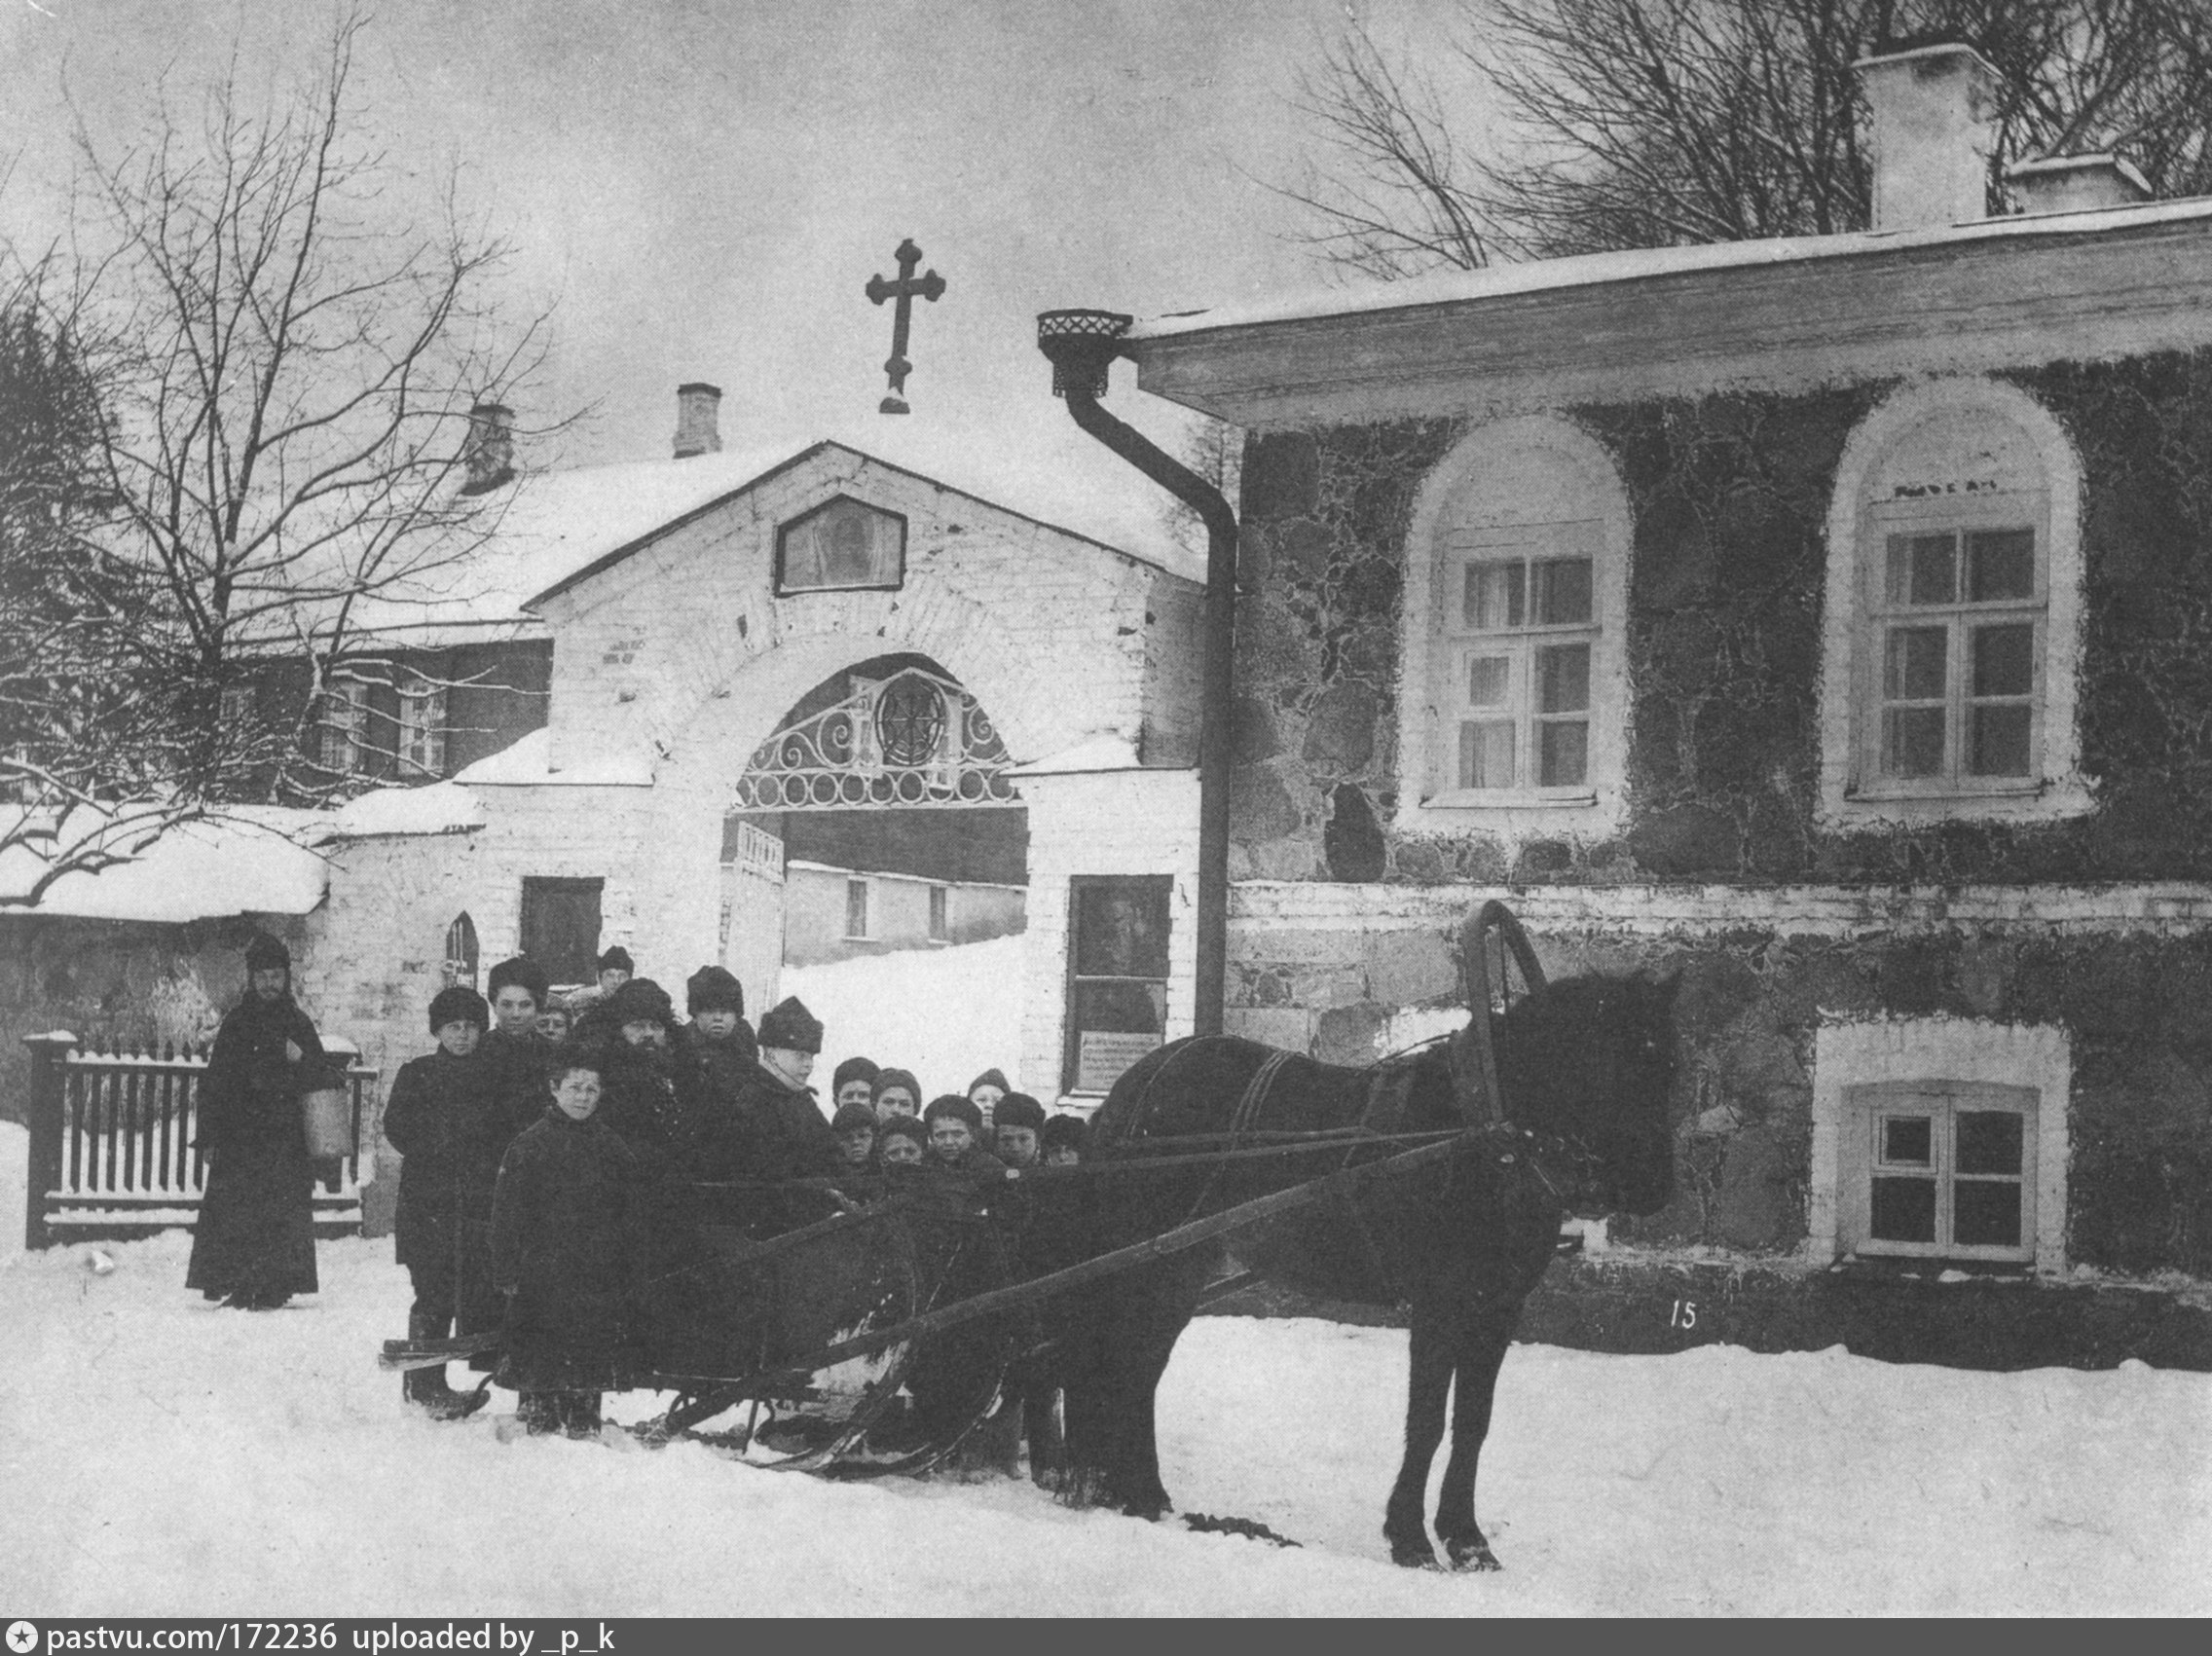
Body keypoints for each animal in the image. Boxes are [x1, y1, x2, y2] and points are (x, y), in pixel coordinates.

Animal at [1044, 910, 1663, 1573]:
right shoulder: (1438, 1304)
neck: (1483, 1133)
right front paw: (1411, 1539)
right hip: (1149, 1264)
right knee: (1121, 1360)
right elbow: (1426, 1422)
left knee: (1138, 1366)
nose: (1655, 1189)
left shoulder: (1498, 1307)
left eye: (1669, 1066)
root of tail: (1122, 1096)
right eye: (1608, 1062)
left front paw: (1468, 1540)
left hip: (1179, 1266)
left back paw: (1142, 1494)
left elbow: (1473, 1422)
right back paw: (1123, 1489)